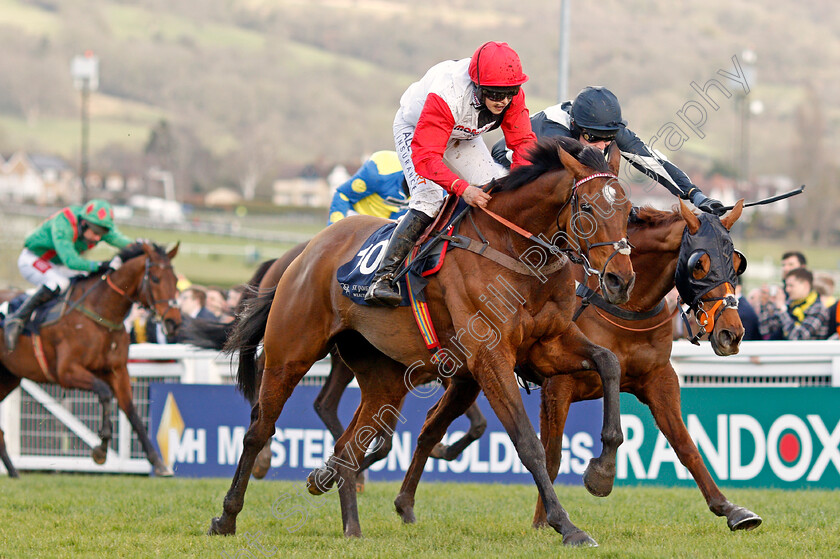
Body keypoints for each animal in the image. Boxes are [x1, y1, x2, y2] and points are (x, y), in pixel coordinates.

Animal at [0, 241, 182, 476]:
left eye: (175, 280)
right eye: (156, 279)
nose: (173, 322)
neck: (101, 314)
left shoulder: (118, 370)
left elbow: (132, 412)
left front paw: (158, 462)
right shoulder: (67, 372)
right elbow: (104, 393)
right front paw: (101, 448)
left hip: (8, 377)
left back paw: (15, 474)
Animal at [212, 137, 636, 548]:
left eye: (629, 209)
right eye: (586, 206)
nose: (620, 280)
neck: (514, 251)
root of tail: (306, 251)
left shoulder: (547, 345)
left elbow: (609, 363)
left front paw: (602, 472)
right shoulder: (490, 357)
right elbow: (528, 443)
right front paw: (567, 526)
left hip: (383, 377)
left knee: (347, 445)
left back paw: (348, 520)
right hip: (291, 352)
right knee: (259, 430)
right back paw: (226, 517)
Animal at [390, 200, 764, 532]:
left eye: (737, 263)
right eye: (699, 264)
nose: (732, 333)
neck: (622, 305)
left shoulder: (659, 379)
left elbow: (685, 444)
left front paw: (729, 508)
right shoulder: (560, 384)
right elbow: (552, 454)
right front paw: (546, 520)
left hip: (470, 378)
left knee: (430, 428)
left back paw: (405, 502)